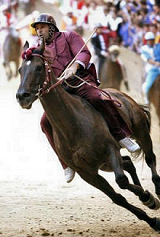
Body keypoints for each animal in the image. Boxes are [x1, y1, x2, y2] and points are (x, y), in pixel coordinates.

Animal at [16, 39, 160, 233]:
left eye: (39, 67)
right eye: (20, 70)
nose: (22, 96)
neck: (74, 123)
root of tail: (123, 95)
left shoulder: (110, 150)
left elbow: (121, 180)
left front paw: (148, 198)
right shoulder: (87, 172)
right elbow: (117, 197)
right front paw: (151, 217)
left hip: (140, 131)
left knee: (150, 159)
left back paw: (156, 191)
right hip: (103, 164)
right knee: (128, 163)